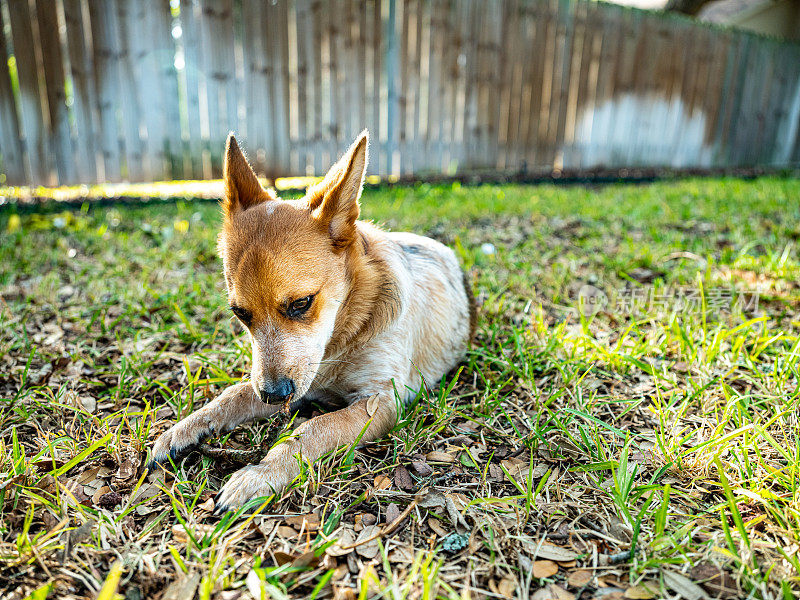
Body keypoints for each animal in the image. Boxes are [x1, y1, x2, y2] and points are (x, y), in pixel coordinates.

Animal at [150, 131, 476, 510]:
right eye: (240, 313)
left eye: (301, 303)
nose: (273, 396)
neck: (344, 334)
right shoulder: (300, 382)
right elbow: (234, 395)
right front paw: (185, 428)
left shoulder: (379, 402)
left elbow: (311, 430)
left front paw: (261, 474)